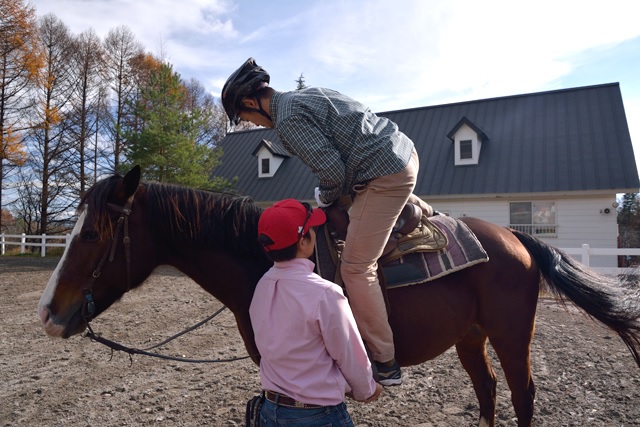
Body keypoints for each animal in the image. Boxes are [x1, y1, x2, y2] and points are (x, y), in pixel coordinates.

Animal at [37, 167, 636, 427]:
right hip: (471, 338)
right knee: (488, 392)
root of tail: (516, 239)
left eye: (91, 235)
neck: (265, 259)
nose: (47, 313)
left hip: (512, 337)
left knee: (522, 395)